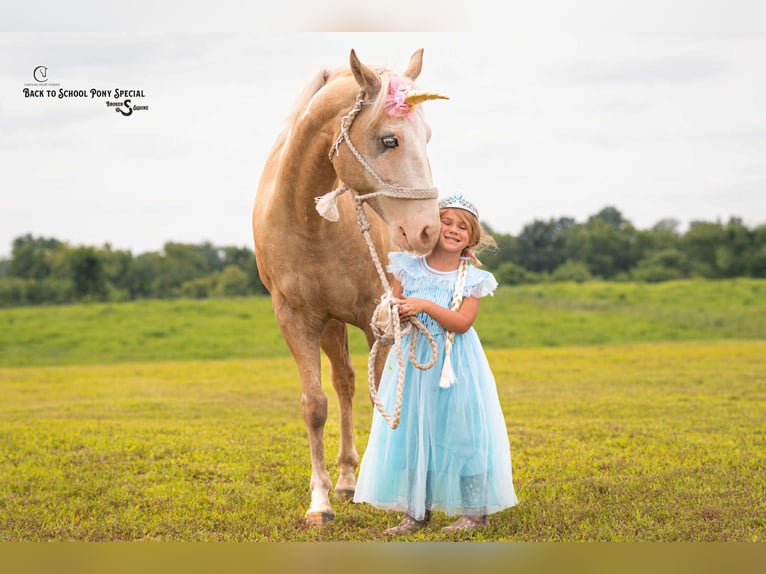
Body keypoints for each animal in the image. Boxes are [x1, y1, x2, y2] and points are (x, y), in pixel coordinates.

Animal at [252, 48, 447, 525]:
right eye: (390, 140)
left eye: (427, 136)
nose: (428, 231)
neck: (311, 219)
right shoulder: (296, 319)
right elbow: (315, 404)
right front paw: (320, 500)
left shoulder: (377, 318)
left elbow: (381, 405)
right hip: (329, 325)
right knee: (343, 383)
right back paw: (344, 481)